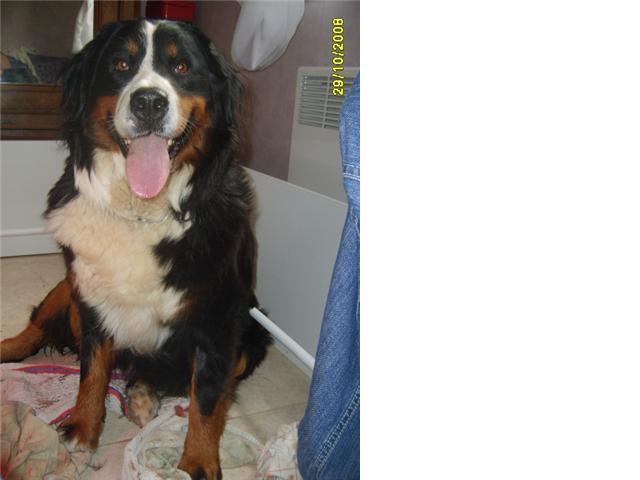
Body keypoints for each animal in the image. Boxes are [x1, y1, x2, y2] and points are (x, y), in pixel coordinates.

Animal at [0, 19, 271, 479]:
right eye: (121, 65)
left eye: (182, 66)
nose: (148, 102)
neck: (142, 210)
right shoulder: (91, 298)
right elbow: (91, 372)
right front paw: (83, 431)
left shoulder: (219, 319)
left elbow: (206, 400)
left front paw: (197, 463)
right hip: (68, 288)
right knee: (34, 329)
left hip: (252, 335)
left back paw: (143, 396)